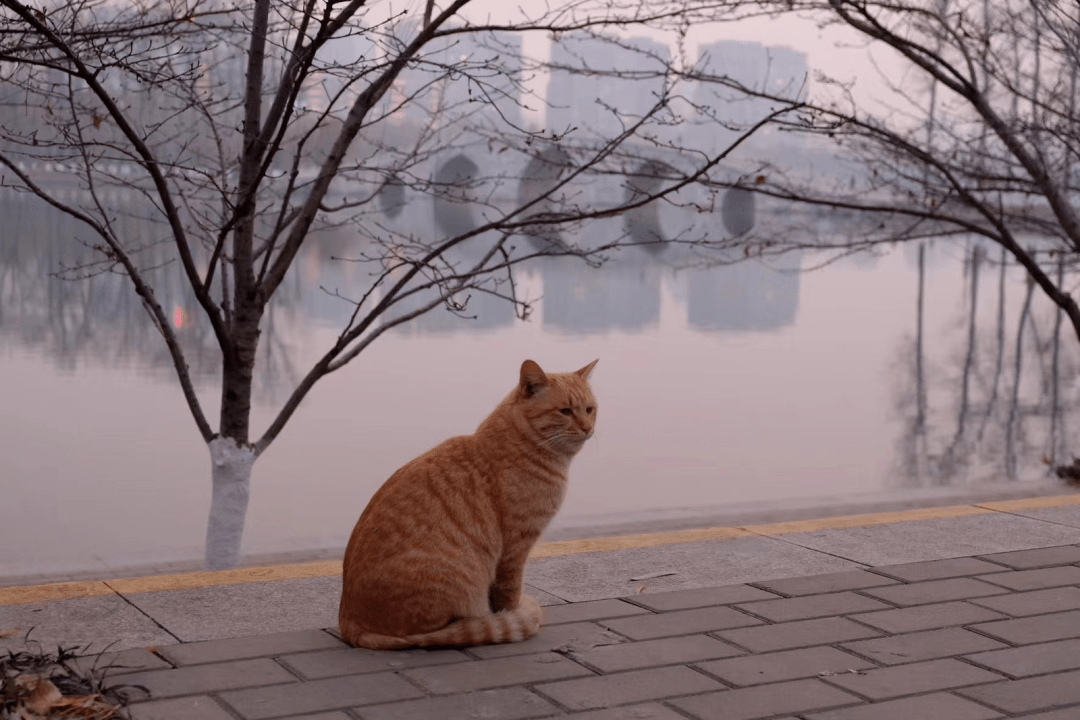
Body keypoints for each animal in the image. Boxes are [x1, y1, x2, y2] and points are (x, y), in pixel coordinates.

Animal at [339, 358, 600, 647]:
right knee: (432, 631)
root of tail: (348, 622)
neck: (523, 444)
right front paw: (511, 615)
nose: (587, 428)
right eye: (565, 411)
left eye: (590, 409)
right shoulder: (515, 547)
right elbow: (509, 593)